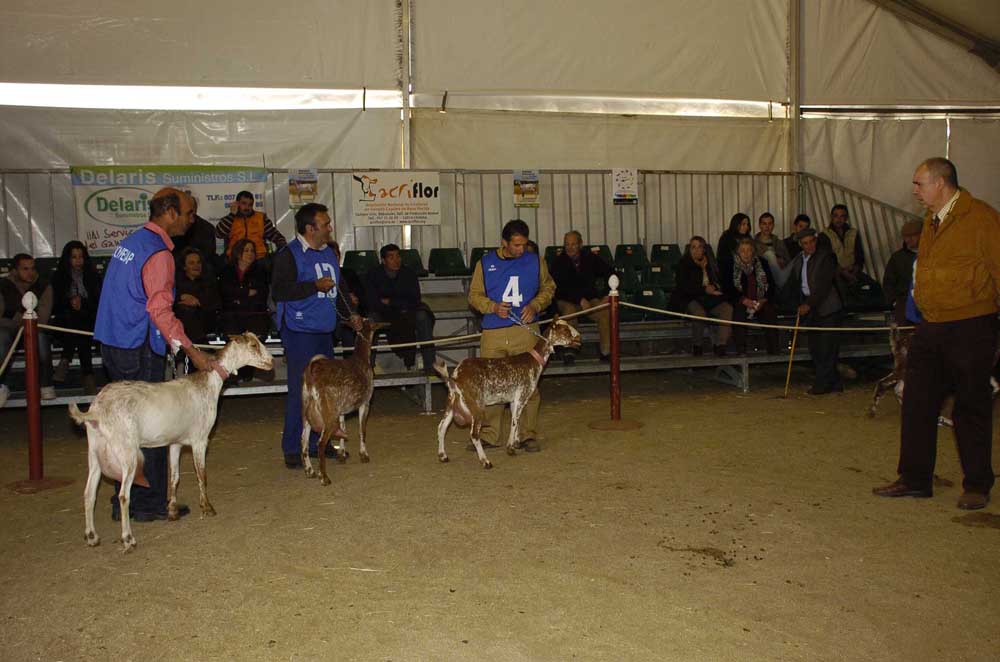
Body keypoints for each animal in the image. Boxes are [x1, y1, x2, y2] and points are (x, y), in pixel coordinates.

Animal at [69, 332, 274, 556]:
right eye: (253, 345)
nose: (272, 361)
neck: (208, 383)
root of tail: (95, 410)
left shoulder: (175, 443)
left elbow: (175, 477)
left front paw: (173, 510)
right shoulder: (200, 439)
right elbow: (202, 475)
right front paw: (207, 508)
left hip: (95, 451)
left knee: (89, 493)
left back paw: (92, 537)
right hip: (127, 452)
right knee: (123, 496)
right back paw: (128, 539)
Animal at [298, 320, 388, 486]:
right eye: (373, 323)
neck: (360, 359)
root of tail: (311, 373)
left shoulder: (341, 410)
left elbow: (343, 429)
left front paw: (341, 454)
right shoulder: (365, 403)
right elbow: (362, 430)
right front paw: (364, 455)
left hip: (306, 413)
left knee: (303, 442)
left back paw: (310, 471)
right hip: (328, 414)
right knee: (320, 443)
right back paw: (324, 477)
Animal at [434, 318, 584, 470]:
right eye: (565, 330)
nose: (579, 337)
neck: (533, 361)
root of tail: (456, 377)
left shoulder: (514, 400)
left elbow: (516, 420)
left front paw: (516, 443)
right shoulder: (522, 396)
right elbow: (514, 421)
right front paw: (510, 448)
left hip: (451, 403)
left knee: (441, 427)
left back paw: (443, 456)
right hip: (476, 406)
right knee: (474, 434)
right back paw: (485, 461)